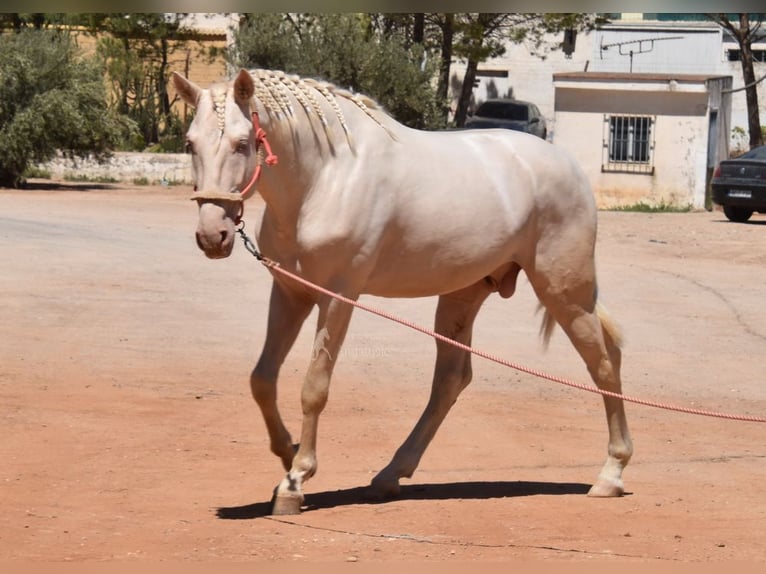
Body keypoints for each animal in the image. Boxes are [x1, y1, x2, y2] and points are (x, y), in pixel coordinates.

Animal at [172, 67, 636, 516]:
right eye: (190, 143)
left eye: (242, 143)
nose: (212, 236)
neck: (325, 179)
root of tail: (567, 164)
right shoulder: (290, 293)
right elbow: (262, 379)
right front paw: (287, 452)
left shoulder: (337, 297)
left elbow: (314, 387)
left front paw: (296, 479)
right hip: (464, 296)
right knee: (451, 381)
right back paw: (390, 474)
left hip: (563, 290)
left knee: (603, 366)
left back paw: (611, 474)